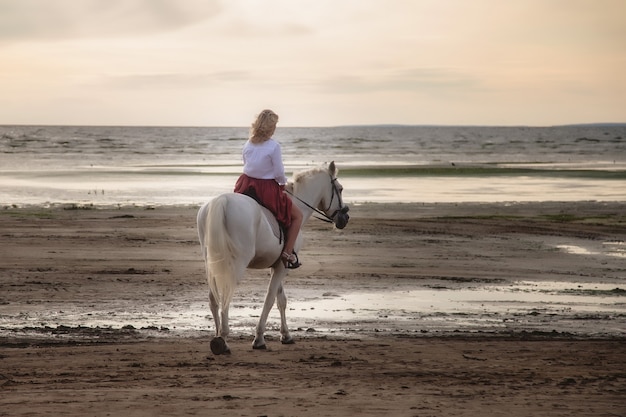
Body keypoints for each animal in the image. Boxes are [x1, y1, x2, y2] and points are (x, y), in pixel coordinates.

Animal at [197, 161, 348, 352]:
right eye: (340, 189)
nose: (345, 217)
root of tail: (222, 201)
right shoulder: (283, 266)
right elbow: (269, 299)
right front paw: (259, 338)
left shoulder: (278, 264)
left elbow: (280, 299)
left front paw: (286, 335)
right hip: (236, 264)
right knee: (226, 295)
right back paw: (222, 339)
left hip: (211, 263)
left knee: (213, 298)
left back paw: (217, 336)